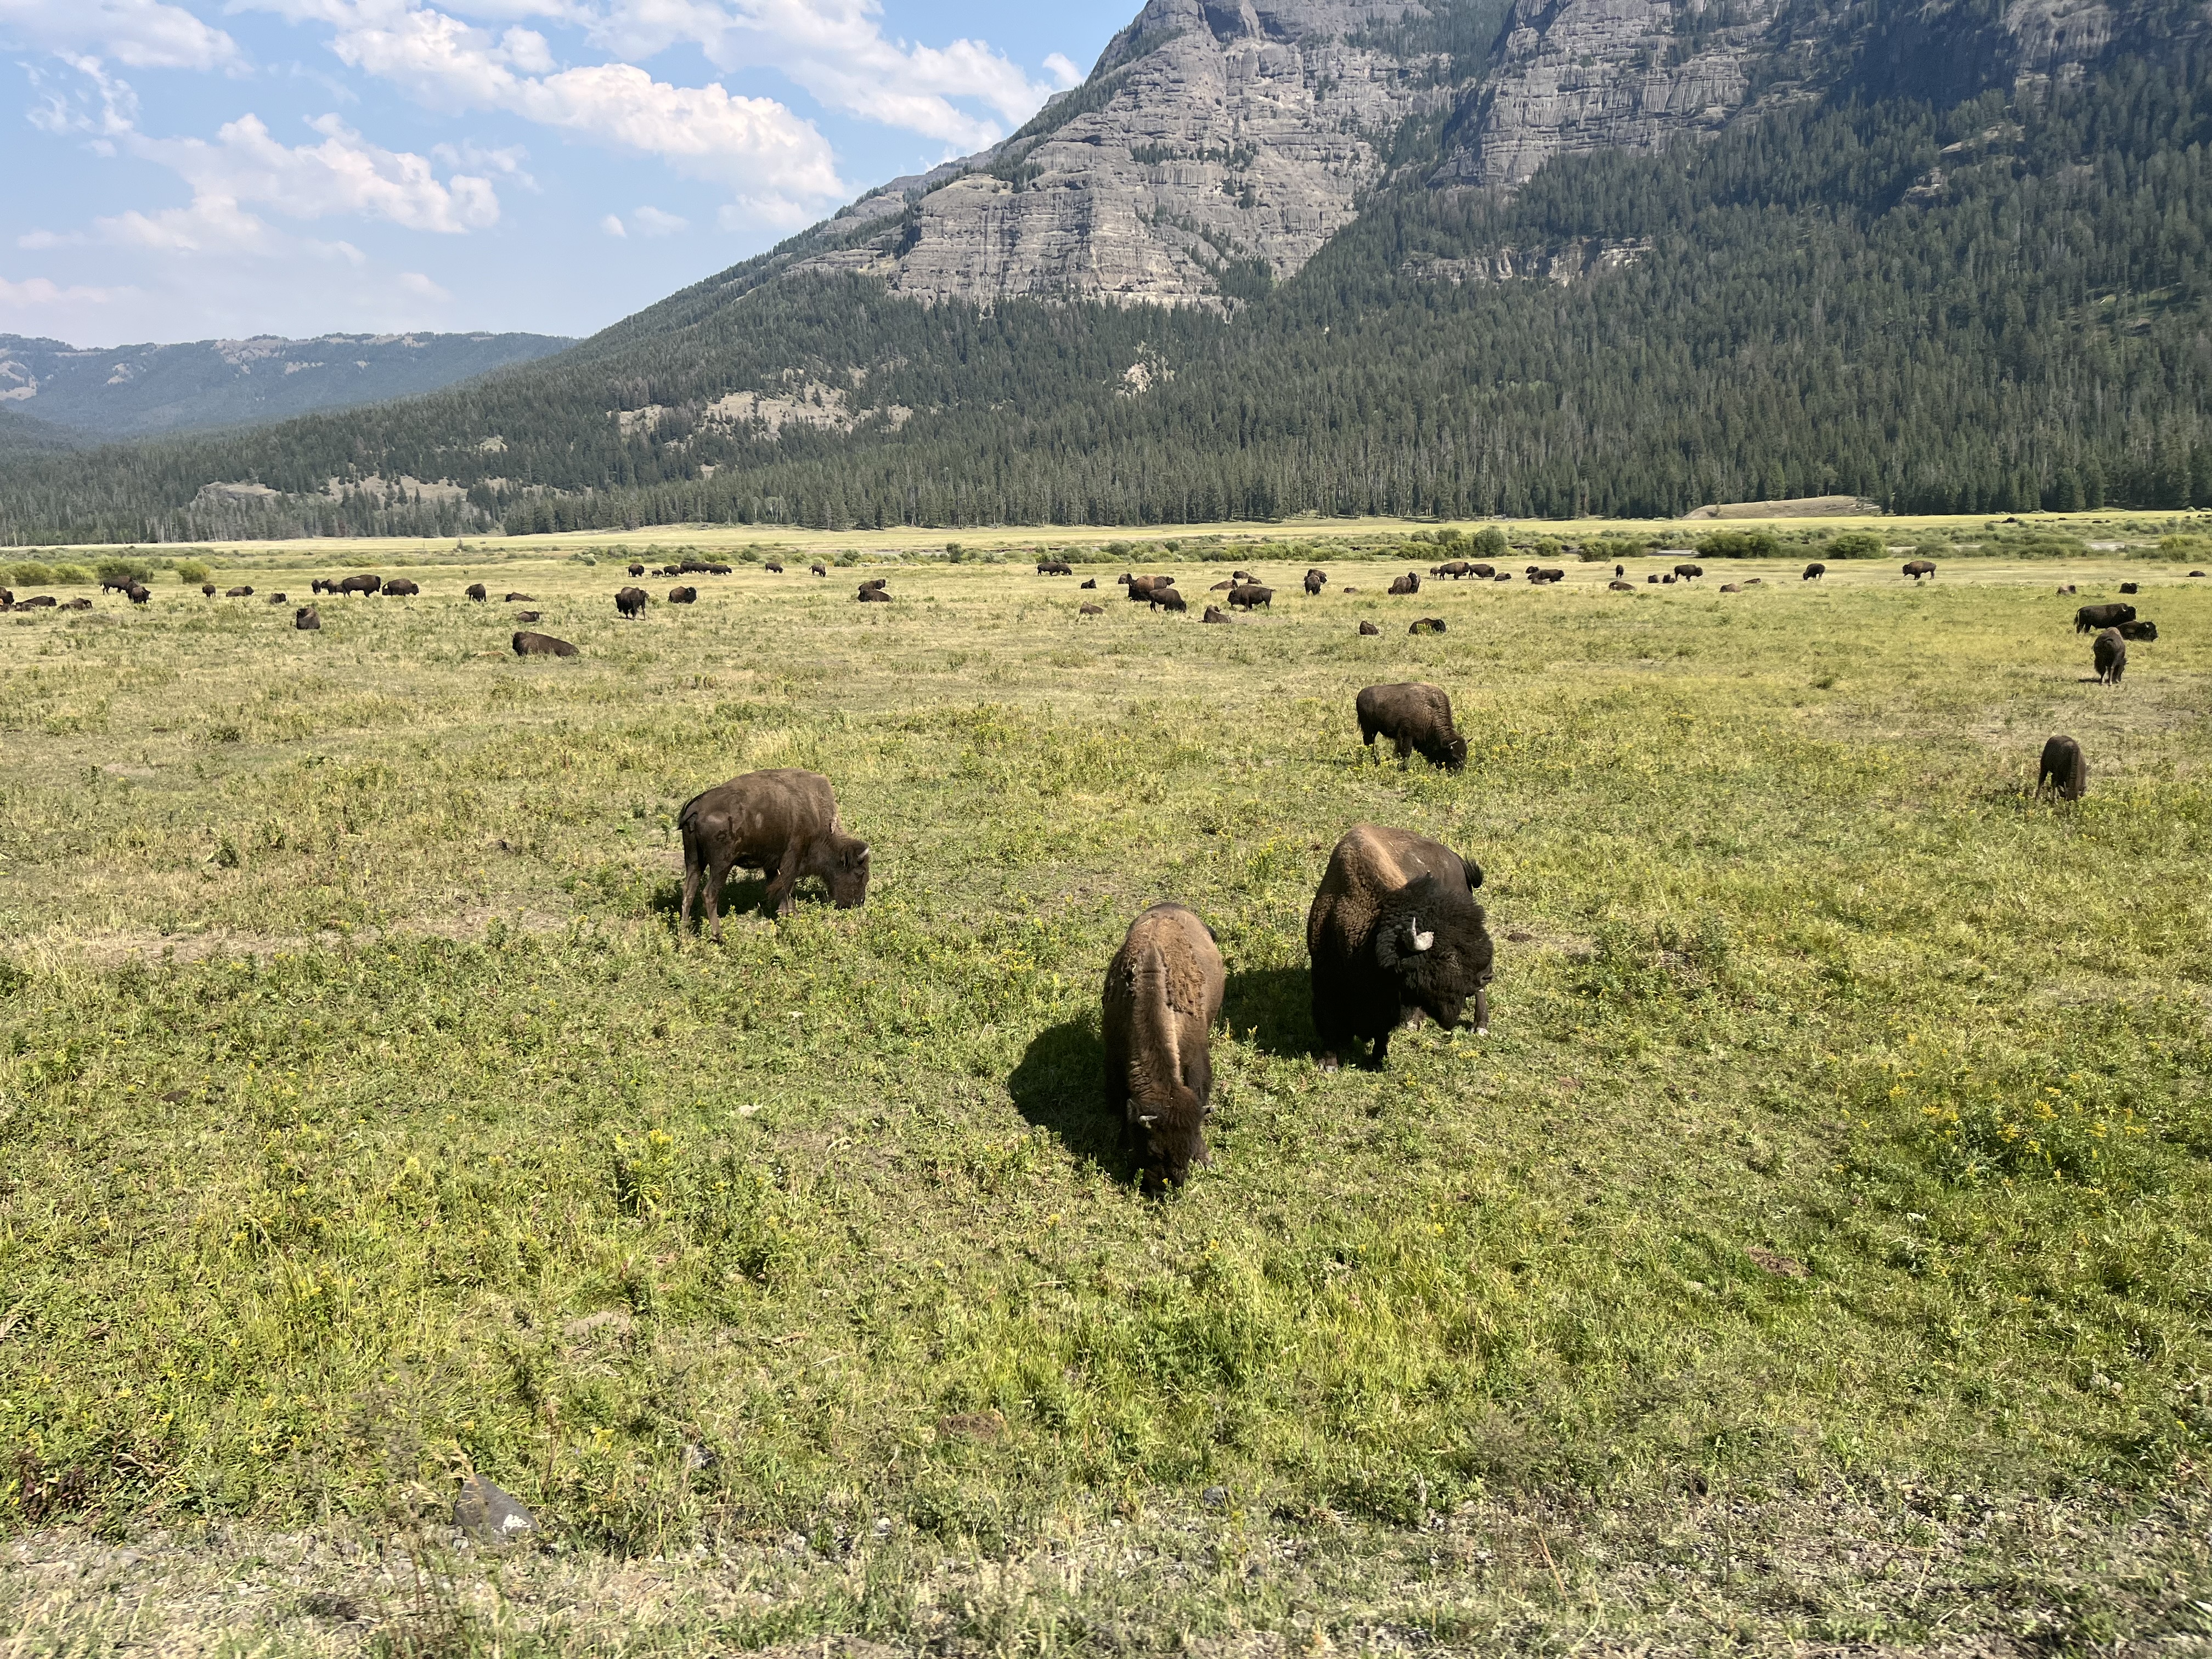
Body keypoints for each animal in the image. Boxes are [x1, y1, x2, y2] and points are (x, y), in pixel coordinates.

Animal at [678, 767, 870, 938]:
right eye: (860, 873)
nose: (858, 902)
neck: (814, 812)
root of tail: (697, 808)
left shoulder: (772, 863)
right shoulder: (792, 859)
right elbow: (785, 887)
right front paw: (787, 914)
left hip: (694, 860)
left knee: (689, 890)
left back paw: (685, 935)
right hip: (722, 864)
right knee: (709, 893)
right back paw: (718, 936)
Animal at [1102, 902, 1225, 1191]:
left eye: (1188, 1149)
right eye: (1154, 1150)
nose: (1164, 1187)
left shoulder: (1196, 1058)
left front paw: (1206, 1157)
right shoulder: (1114, 1056)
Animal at [1307, 825, 1492, 1070]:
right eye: (1447, 956)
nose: (1486, 975)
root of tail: (1457, 860)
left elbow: (1381, 1030)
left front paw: (1378, 1060)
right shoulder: (1325, 980)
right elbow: (1330, 1023)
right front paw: (1329, 1064)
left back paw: (1479, 1026)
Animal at [1356, 682, 1467, 771]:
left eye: (1465, 756)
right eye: (1453, 757)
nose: (1458, 772)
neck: (1429, 710)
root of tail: (1361, 694)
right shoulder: (1406, 735)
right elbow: (1405, 753)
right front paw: (1404, 769)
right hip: (1369, 729)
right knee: (1370, 743)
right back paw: (1375, 762)